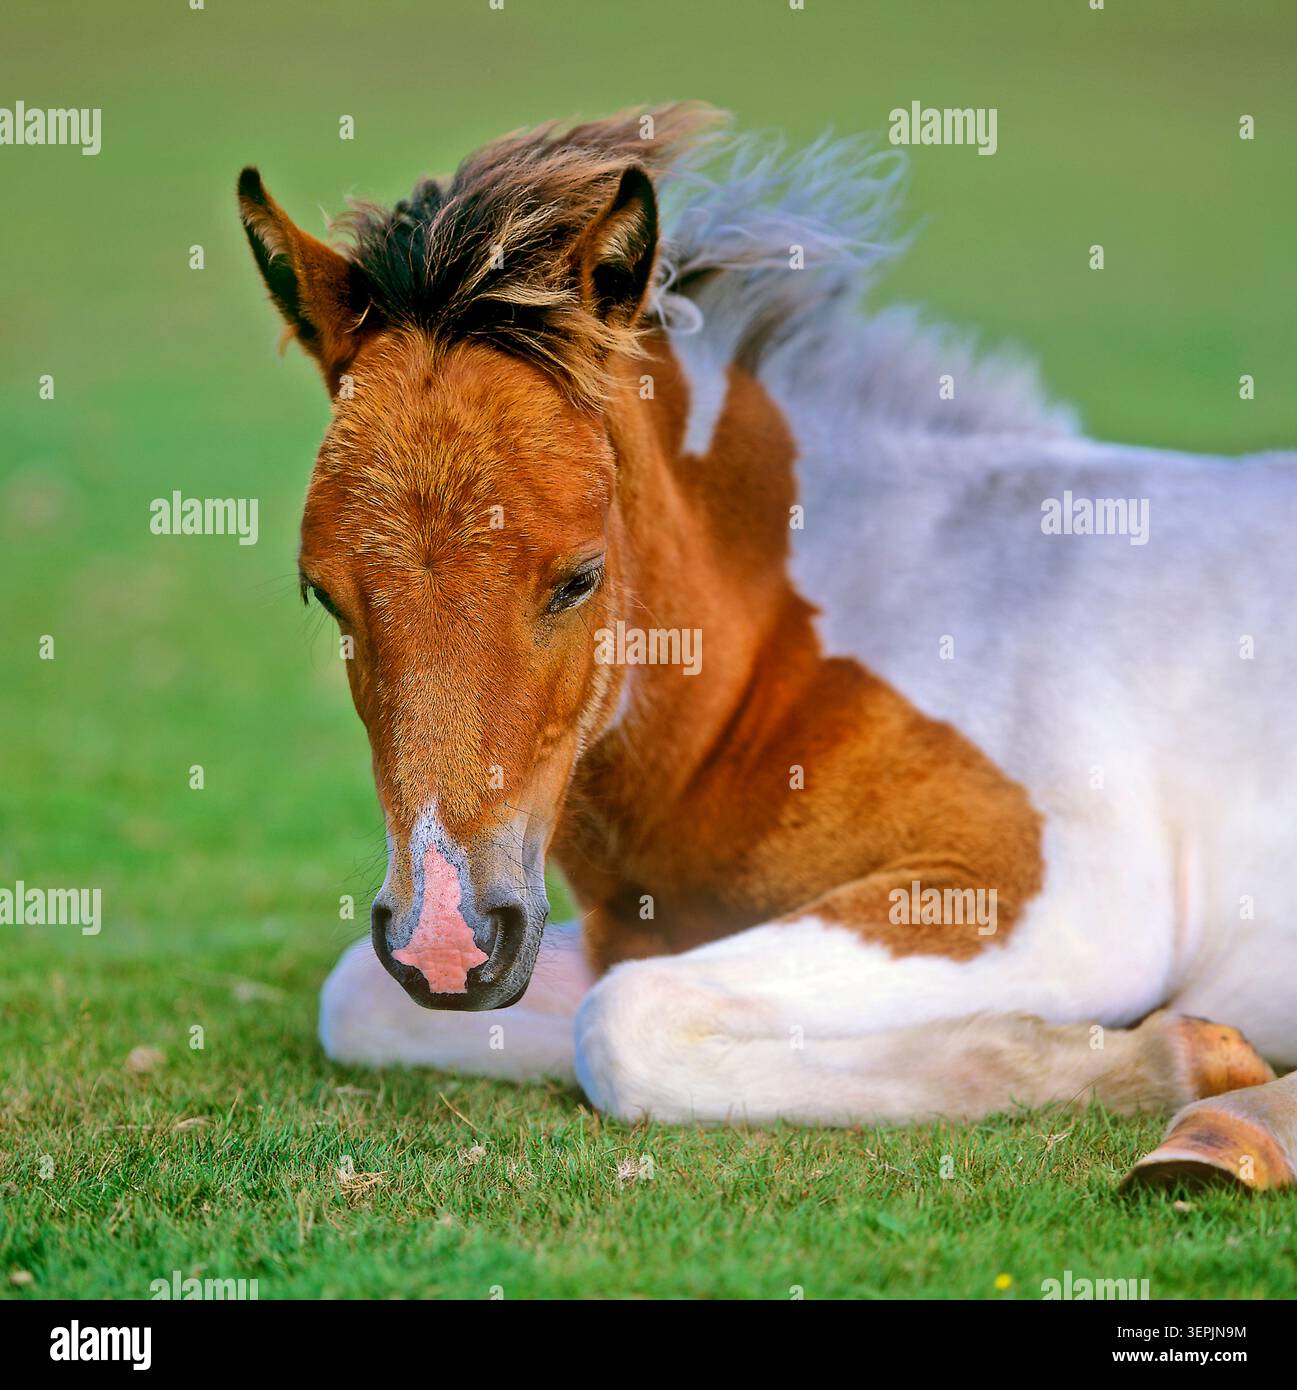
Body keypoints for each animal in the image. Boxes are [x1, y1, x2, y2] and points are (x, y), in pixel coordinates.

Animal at [238, 104, 1297, 1189]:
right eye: (325, 594)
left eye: (579, 577)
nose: (447, 940)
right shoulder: (626, 934)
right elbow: (365, 997)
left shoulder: (1055, 905)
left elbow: (622, 1023)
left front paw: (1177, 1064)